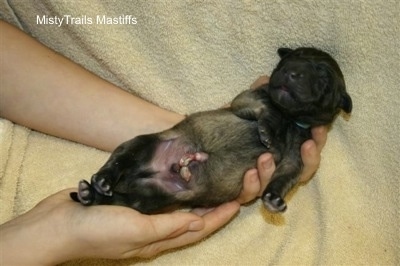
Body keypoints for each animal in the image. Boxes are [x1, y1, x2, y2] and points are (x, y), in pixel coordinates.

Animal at [70, 47, 352, 214]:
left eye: (323, 79)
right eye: (287, 61)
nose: (291, 72)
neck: (290, 119)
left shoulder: (295, 160)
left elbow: (284, 177)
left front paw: (273, 197)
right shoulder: (245, 99)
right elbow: (265, 106)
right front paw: (267, 130)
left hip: (152, 198)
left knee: (123, 202)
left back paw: (91, 196)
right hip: (142, 144)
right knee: (120, 159)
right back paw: (102, 180)